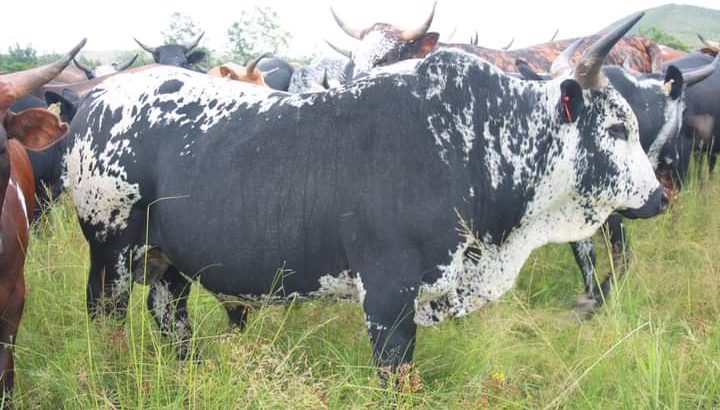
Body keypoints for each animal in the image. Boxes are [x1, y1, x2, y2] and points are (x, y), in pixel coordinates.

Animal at [516, 44, 718, 314]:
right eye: (682, 108)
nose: (673, 158)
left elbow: (590, 254)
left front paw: (591, 298)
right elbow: (618, 254)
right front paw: (593, 301)